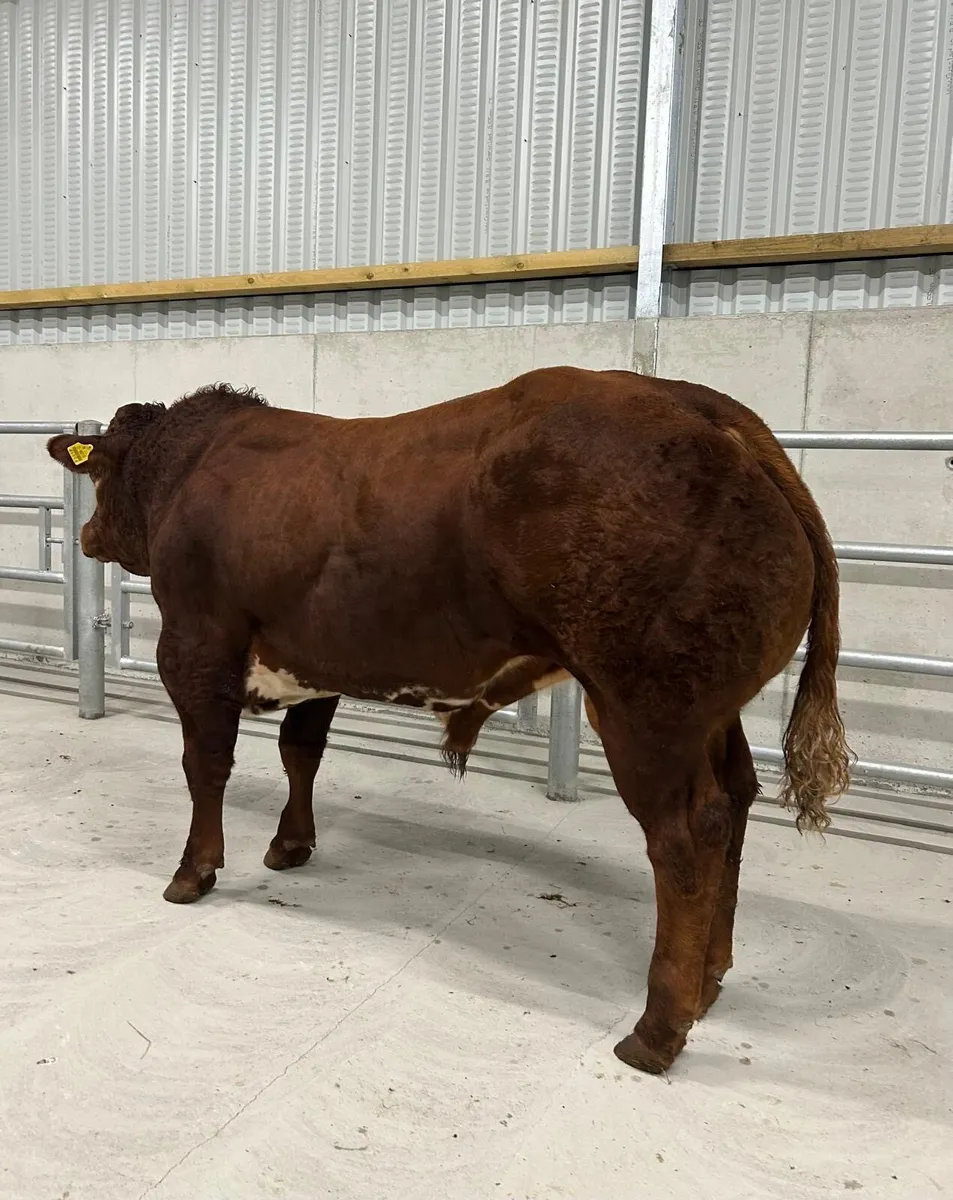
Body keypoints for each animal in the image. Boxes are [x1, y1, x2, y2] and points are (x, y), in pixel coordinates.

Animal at [48, 366, 851, 1074]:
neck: (189, 470)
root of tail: (696, 405)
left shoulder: (195, 644)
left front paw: (194, 871)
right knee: (737, 798)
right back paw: (709, 980)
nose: (87, 535)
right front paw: (290, 844)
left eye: (102, 476)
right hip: (709, 715)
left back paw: (658, 1030)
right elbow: (301, 751)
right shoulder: (316, 654)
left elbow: (206, 765)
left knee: (688, 837)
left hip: (645, 711)